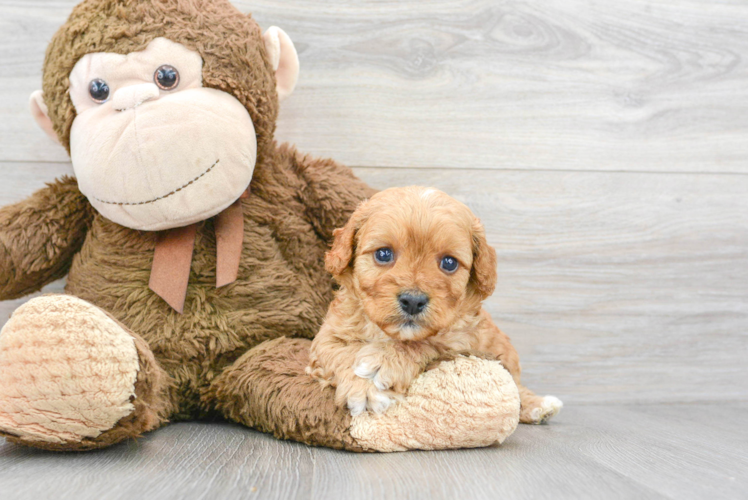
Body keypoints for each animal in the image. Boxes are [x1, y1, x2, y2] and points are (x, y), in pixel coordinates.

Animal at [306, 186, 560, 424]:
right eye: (383, 254)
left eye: (449, 263)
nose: (413, 301)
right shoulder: (328, 335)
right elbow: (338, 352)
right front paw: (364, 390)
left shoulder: (461, 342)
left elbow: (425, 344)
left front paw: (383, 362)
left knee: (517, 387)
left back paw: (539, 405)